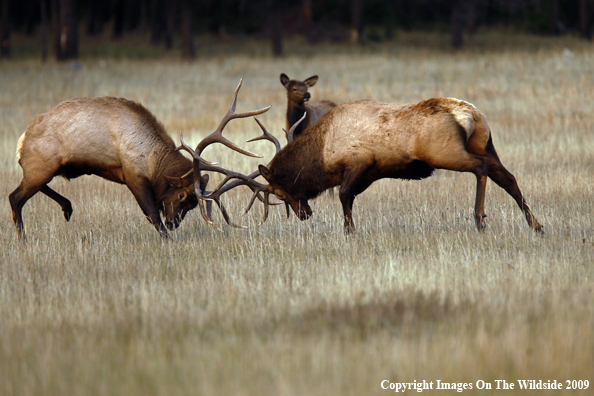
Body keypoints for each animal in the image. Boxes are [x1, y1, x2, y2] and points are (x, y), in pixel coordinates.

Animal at [9, 79, 268, 240]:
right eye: (182, 196)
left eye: (194, 204)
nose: (174, 223)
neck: (154, 161)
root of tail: (21, 142)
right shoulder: (133, 175)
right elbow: (152, 213)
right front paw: (169, 241)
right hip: (40, 165)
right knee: (15, 197)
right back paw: (24, 241)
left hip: (44, 168)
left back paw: (67, 207)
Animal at [215, 99, 544, 235]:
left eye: (279, 192)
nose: (304, 214)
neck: (322, 155)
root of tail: (472, 115)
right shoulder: (367, 172)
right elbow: (349, 196)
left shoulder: (358, 162)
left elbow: (343, 195)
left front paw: (349, 230)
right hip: (485, 142)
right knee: (508, 176)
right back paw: (536, 225)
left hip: (446, 152)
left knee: (481, 168)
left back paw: (479, 218)